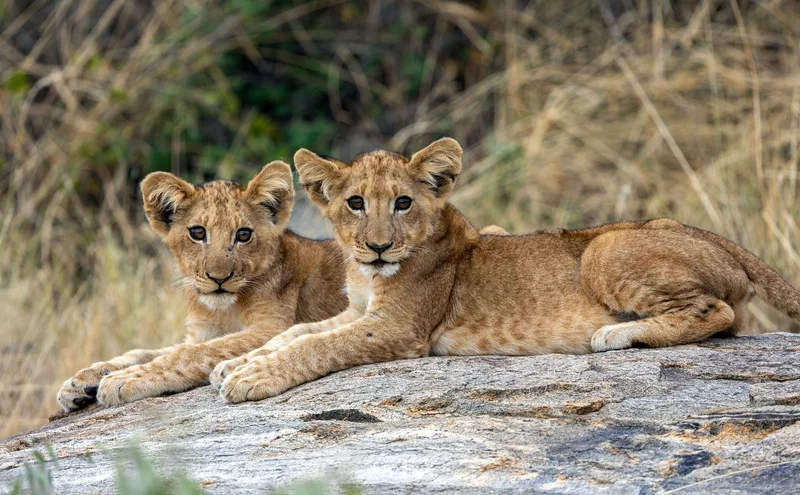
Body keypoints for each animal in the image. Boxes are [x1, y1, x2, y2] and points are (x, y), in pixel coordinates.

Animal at [56, 162, 348, 411]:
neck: (221, 309)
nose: (219, 277)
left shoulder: (273, 327)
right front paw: (83, 379)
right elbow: (148, 351)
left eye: (243, 234)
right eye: (197, 233)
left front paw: (123, 379)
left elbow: (189, 354)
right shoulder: (202, 332)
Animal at [211, 138, 800, 404]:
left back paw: (618, 334)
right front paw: (234, 364)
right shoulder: (357, 311)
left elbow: (316, 346)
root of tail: (715, 237)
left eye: (403, 203)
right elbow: (297, 333)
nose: (378, 247)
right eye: (354, 203)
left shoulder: (400, 329)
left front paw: (250, 378)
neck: (367, 274)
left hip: (604, 248)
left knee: (718, 312)